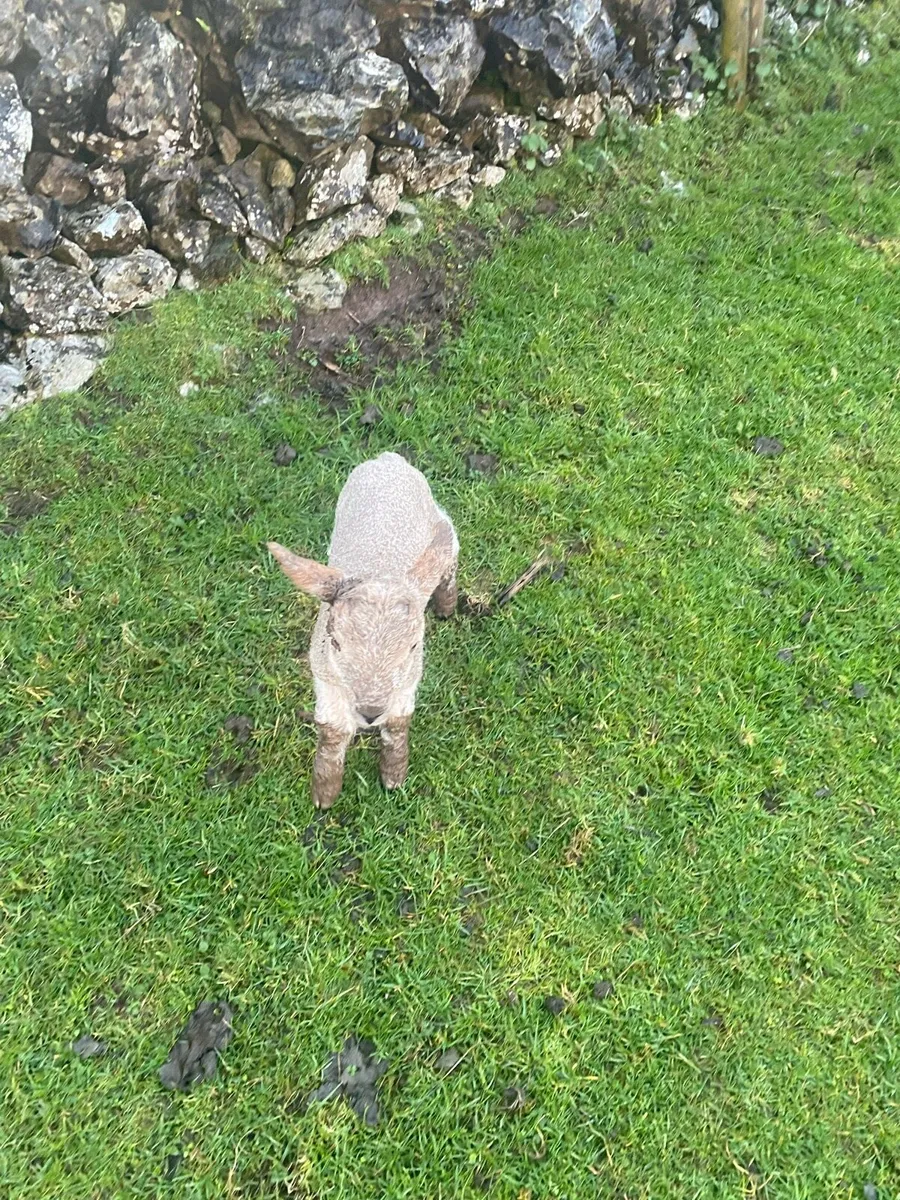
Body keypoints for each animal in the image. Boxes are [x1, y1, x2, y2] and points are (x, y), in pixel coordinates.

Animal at [268, 452, 458, 809]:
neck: (379, 569)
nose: (370, 713)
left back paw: (447, 602)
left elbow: (398, 722)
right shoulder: (324, 673)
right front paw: (325, 792)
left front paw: (394, 775)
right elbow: (332, 730)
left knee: (450, 550)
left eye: (414, 646)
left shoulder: (408, 680)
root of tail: (388, 459)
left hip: (436, 519)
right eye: (335, 643)